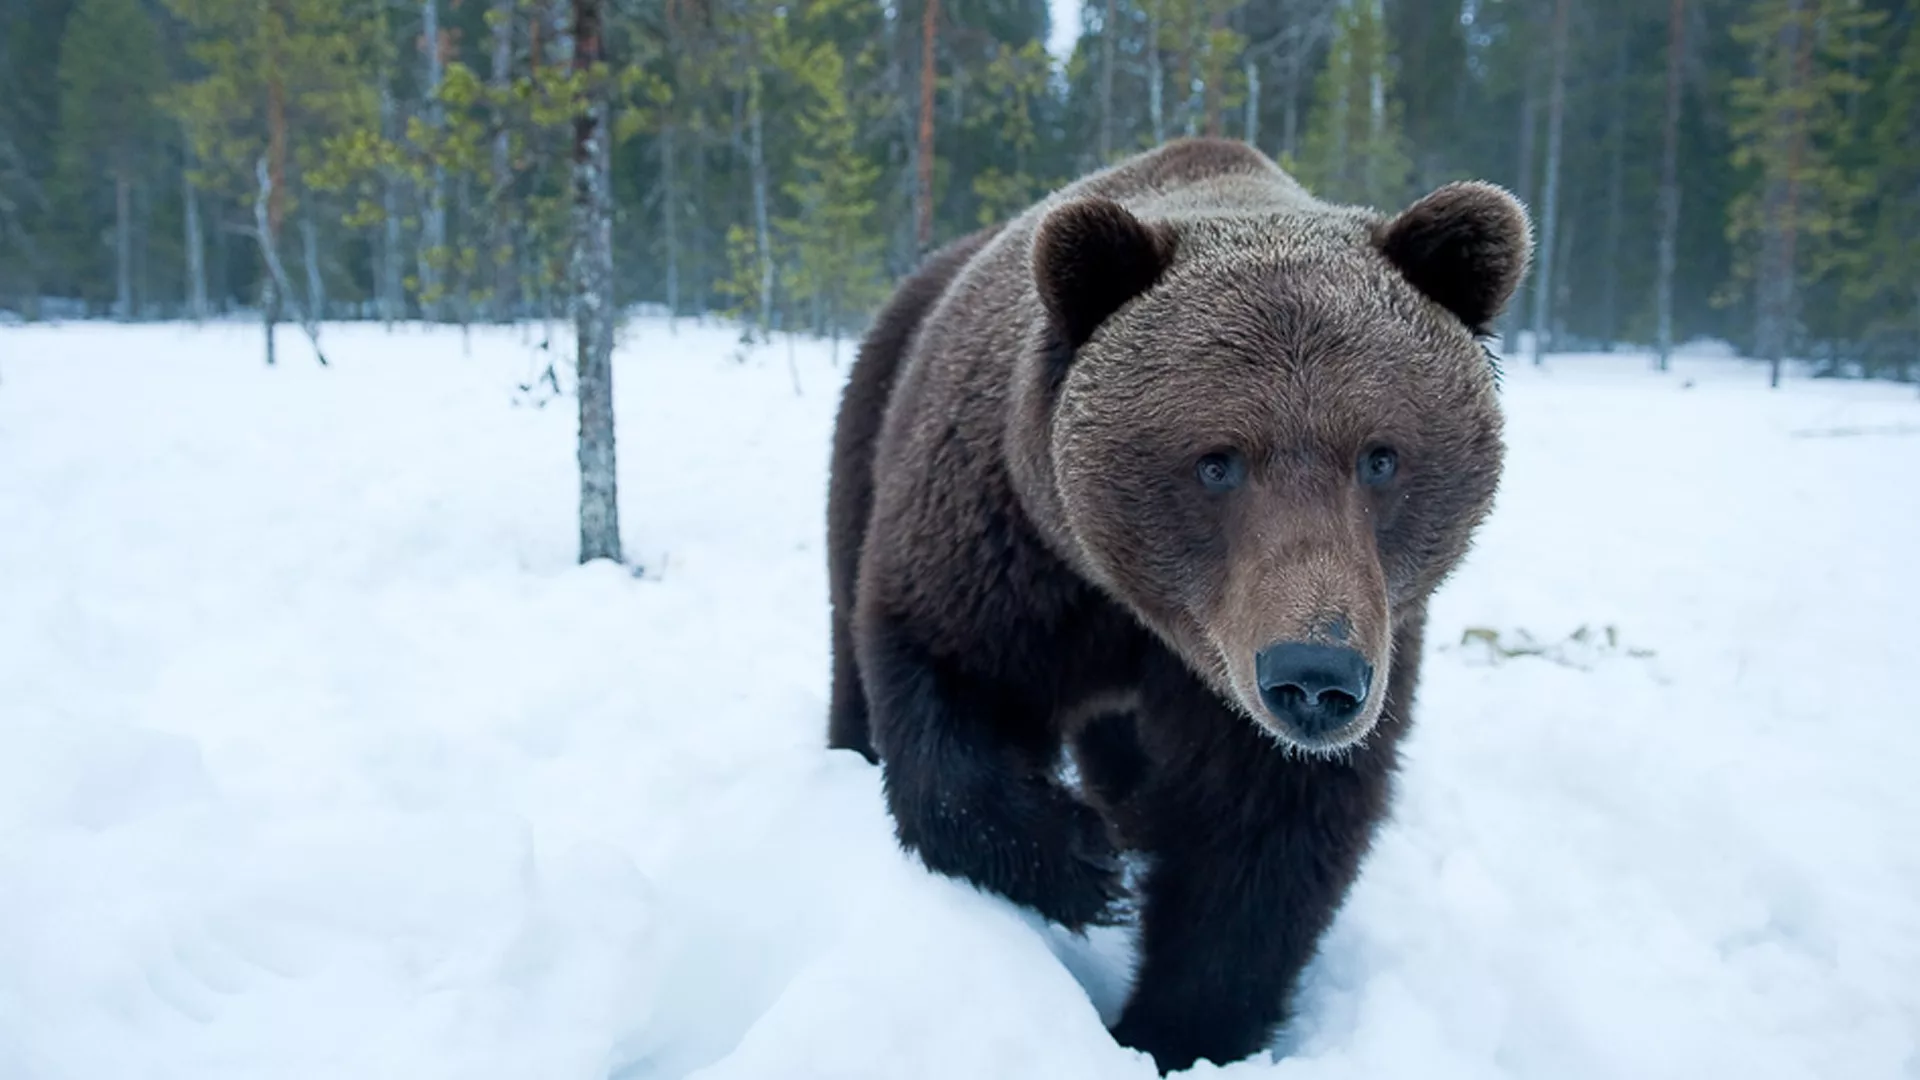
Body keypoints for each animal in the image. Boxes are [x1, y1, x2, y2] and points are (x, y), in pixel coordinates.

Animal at [825, 136, 1528, 1068]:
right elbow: (946, 681)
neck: (1139, 612)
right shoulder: (1007, 550)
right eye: (1216, 460)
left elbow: (1261, 840)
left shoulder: (1359, 636)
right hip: (868, 421)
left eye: (1381, 456)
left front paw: (1179, 1030)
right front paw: (1083, 865)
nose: (1313, 675)